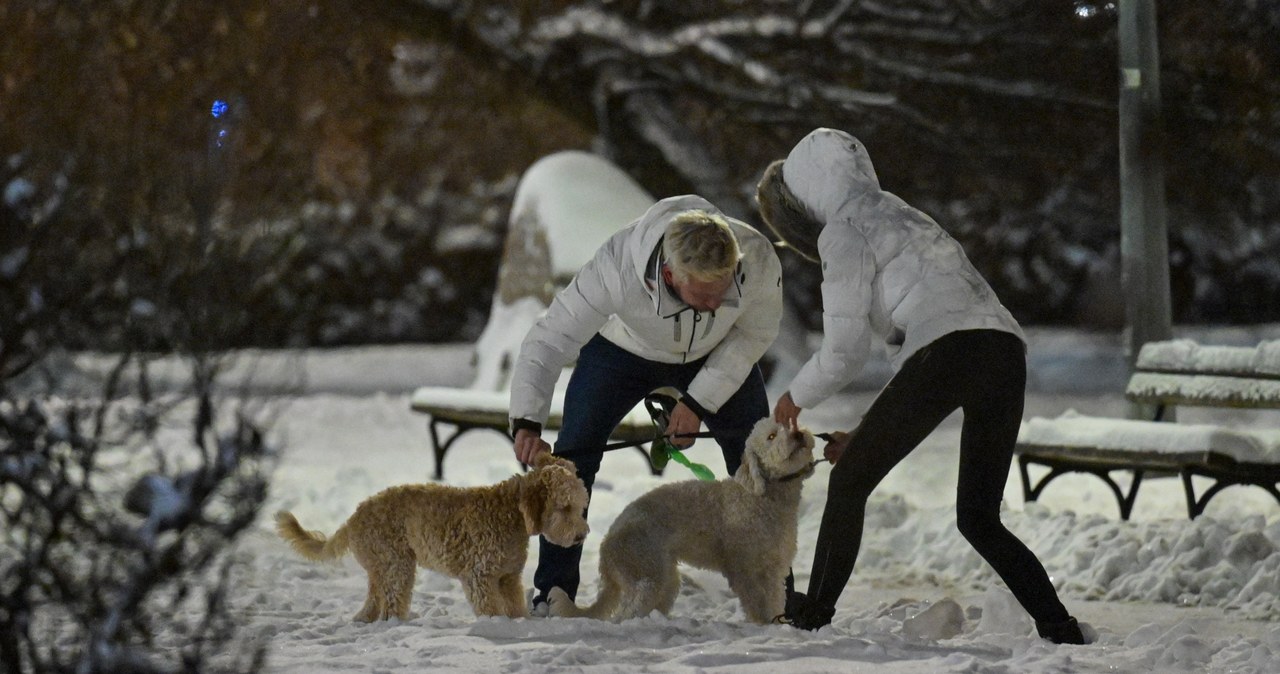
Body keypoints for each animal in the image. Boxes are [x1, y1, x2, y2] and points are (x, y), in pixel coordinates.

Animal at [277, 452, 586, 621]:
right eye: (564, 507)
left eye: (580, 505)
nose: (582, 536)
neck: (512, 514)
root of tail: (354, 517)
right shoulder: (480, 576)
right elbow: (491, 608)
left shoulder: (507, 578)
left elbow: (514, 608)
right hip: (397, 564)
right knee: (391, 603)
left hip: (382, 568)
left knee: (374, 601)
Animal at [547, 419, 808, 624]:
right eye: (771, 436)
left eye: (790, 423)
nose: (798, 434)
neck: (760, 496)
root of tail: (607, 543)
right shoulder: (745, 569)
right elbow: (757, 604)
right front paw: (765, 626)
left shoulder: (774, 570)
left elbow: (774, 600)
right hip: (646, 573)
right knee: (625, 614)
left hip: (664, 577)